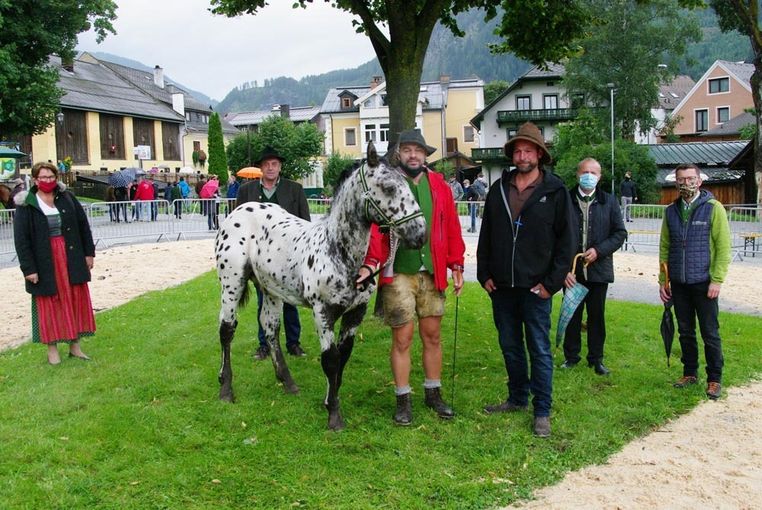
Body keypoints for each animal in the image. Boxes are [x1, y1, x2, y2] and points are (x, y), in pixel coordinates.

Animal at [214, 142, 428, 430]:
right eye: (389, 187)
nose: (420, 234)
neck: (337, 251)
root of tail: (238, 210)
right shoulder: (322, 312)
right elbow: (330, 359)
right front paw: (334, 415)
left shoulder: (355, 312)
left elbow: (343, 356)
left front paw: (330, 400)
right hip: (231, 283)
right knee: (227, 329)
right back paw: (226, 389)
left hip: (270, 289)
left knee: (270, 328)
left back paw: (288, 382)